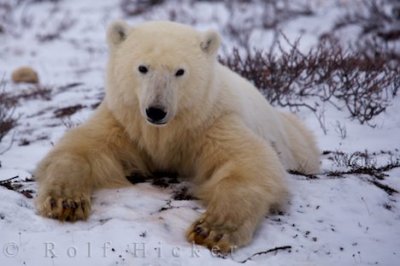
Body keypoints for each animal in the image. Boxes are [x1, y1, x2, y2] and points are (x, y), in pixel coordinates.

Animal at [35, 19, 322, 252]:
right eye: (142, 67)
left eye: (180, 71)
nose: (156, 111)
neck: (167, 129)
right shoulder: (125, 122)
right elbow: (82, 148)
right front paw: (65, 201)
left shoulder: (211, 122)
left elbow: (249, 164)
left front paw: (213, 230)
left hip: (297, 143)